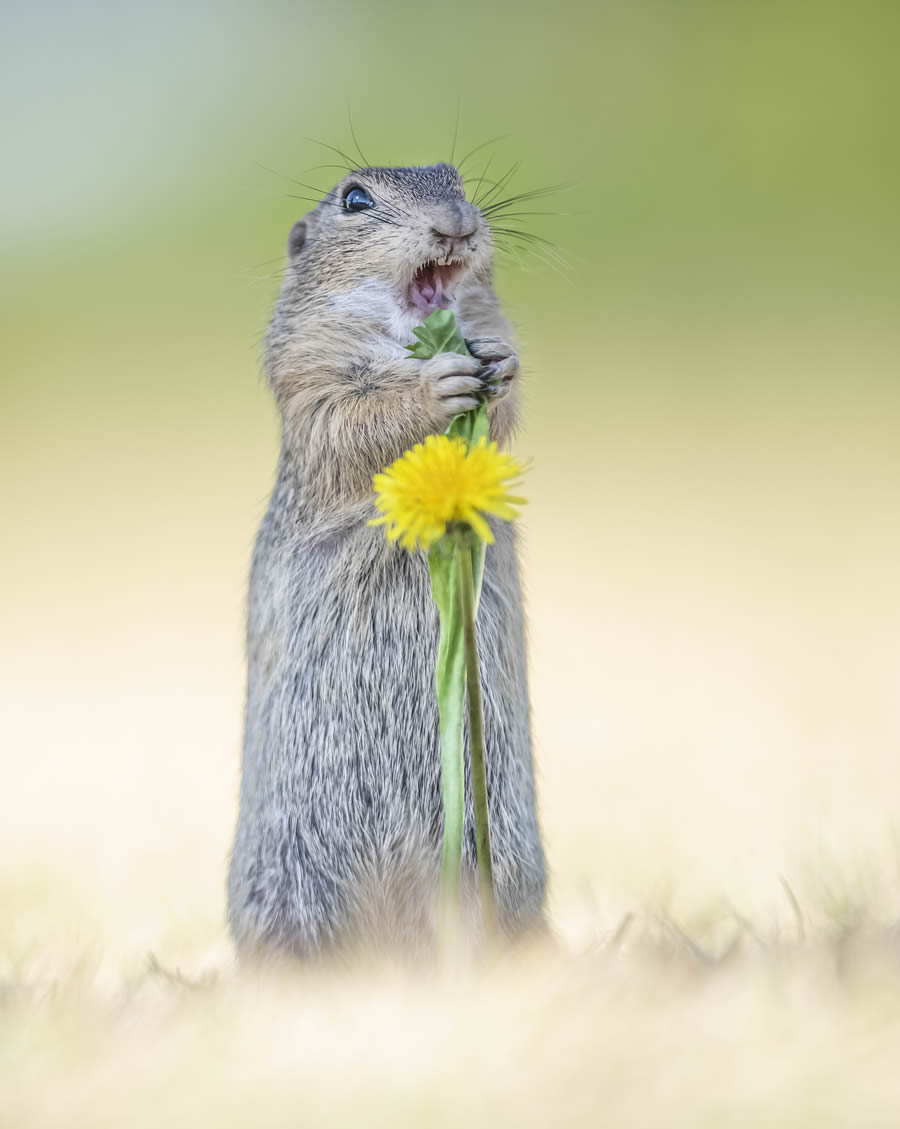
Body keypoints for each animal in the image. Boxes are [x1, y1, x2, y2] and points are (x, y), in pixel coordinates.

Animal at [228, 163, 544, 957]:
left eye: (456, 178)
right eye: (355, 200)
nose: (457, 221)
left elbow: (501, 413)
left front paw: (499, 363)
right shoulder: (310, 383)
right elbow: (353, 420)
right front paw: (435, 387)